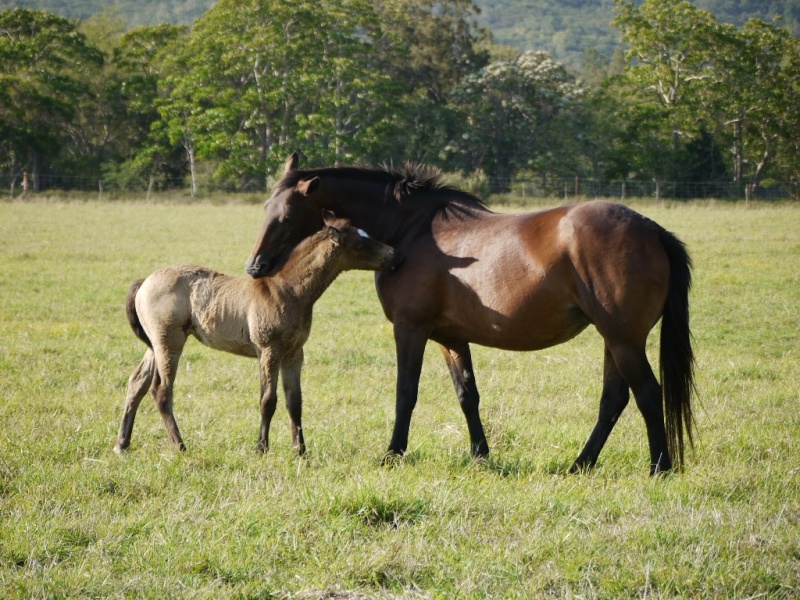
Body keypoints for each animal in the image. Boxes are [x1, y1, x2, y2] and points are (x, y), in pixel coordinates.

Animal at [114, 216, 400, 454]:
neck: (287, 291)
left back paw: (122, 444)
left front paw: (301, 451)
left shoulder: (294, 353)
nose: (394, 256)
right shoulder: (269, 350)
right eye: (360, 244)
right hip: (169, 341)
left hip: (154, 344)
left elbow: (295, 401)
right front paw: (261, 448)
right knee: (161, 391)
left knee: (136, 383)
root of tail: (144, 281)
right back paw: (180, 446)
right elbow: (268, 400)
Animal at [245, 155, 692, 474]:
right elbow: (467, 395)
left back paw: (659, 467)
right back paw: (580, 465)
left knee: (647, 393)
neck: (412, 229)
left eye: (286, 217)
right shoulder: (451, 338)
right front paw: (480, 455)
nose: (255, 267)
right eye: (263, 209)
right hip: (613, 340)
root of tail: (652, 229)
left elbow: (405, 393)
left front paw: (393, 453)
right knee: (614, 399)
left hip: (623, 340)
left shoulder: (410, 330)